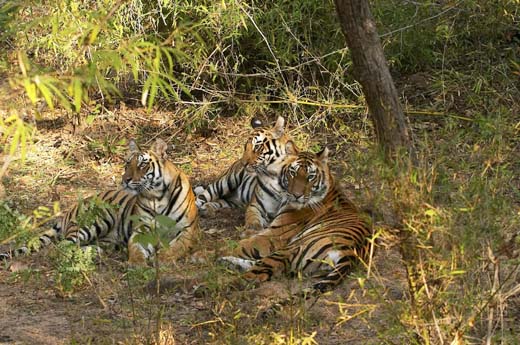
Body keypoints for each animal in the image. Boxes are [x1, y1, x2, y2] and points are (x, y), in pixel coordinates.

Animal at [0, 137, 199, 264]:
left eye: (142, 164)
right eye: (127, 163)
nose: (125, 179)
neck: (157, 196)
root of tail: (70, 209)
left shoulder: (187, 231)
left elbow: (175, 248)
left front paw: (163, 259)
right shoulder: (141, 229)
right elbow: (136, 249)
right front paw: (137, 264)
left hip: (105, 238)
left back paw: (94, 253)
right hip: (97, 220)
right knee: (59, 248)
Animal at [220, 148, 374, 292]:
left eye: (310, 177)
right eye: (293, 172)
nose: (296, 195)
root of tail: (350, 255)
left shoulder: (275, 235)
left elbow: (243, 245)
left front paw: (219, 249)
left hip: (292, 248)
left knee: (256, 274)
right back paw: (226, 262)